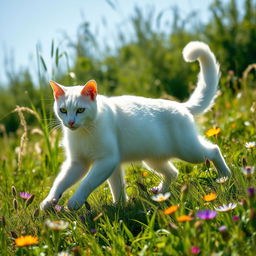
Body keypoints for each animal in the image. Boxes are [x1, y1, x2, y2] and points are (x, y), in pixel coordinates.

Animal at [40, 41, 230, 210]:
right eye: (63, 110)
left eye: (80, 110)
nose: (71, 122)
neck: (83, 132)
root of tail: (181, 106)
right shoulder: (79, 163)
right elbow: (62, 182)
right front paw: (49, 201)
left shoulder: (106, 161)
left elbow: (87, 182)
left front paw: (75, 201)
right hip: (153, 158)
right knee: (172, 172)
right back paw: (160, 193)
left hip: (189, 150)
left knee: (213, 150)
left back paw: (225, 177)